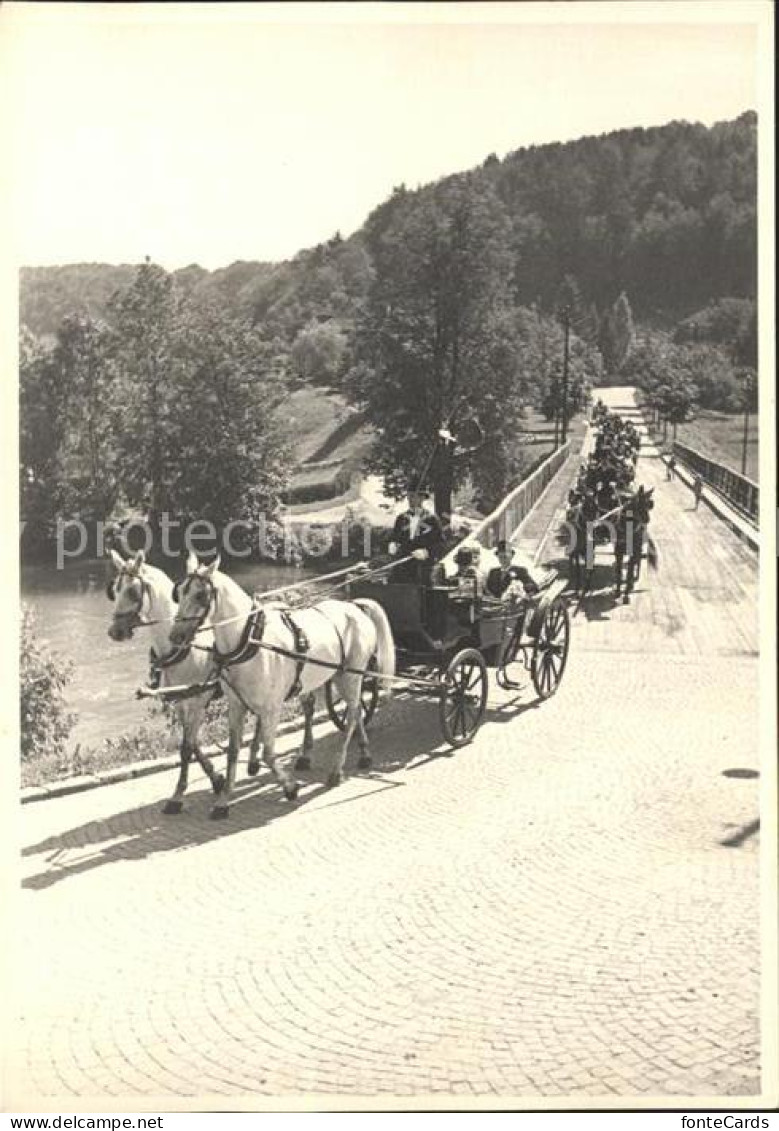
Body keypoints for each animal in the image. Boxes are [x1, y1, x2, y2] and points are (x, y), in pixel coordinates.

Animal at [106, 547, 265, 814]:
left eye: (132, 591)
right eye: (114, 590)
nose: (114, 632)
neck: (182, 650)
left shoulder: (198, 700)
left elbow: (187, 747)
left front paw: (178, 796)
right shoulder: (181, 702)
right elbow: (192, 744)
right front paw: (216, 779)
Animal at [167, 551, 391, 818]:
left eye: (200, 595)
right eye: (179, 592)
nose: (175, 636)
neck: (251, 641)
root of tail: (354, 607)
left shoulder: (271, 708)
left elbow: (268, 753)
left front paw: (290, 787)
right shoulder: (237, 706)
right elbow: (233, 751)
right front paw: (223, 800)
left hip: (351, 676)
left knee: (353, 713)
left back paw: (337, 770)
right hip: (335, 676)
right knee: (354, 712)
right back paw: (362, 753)